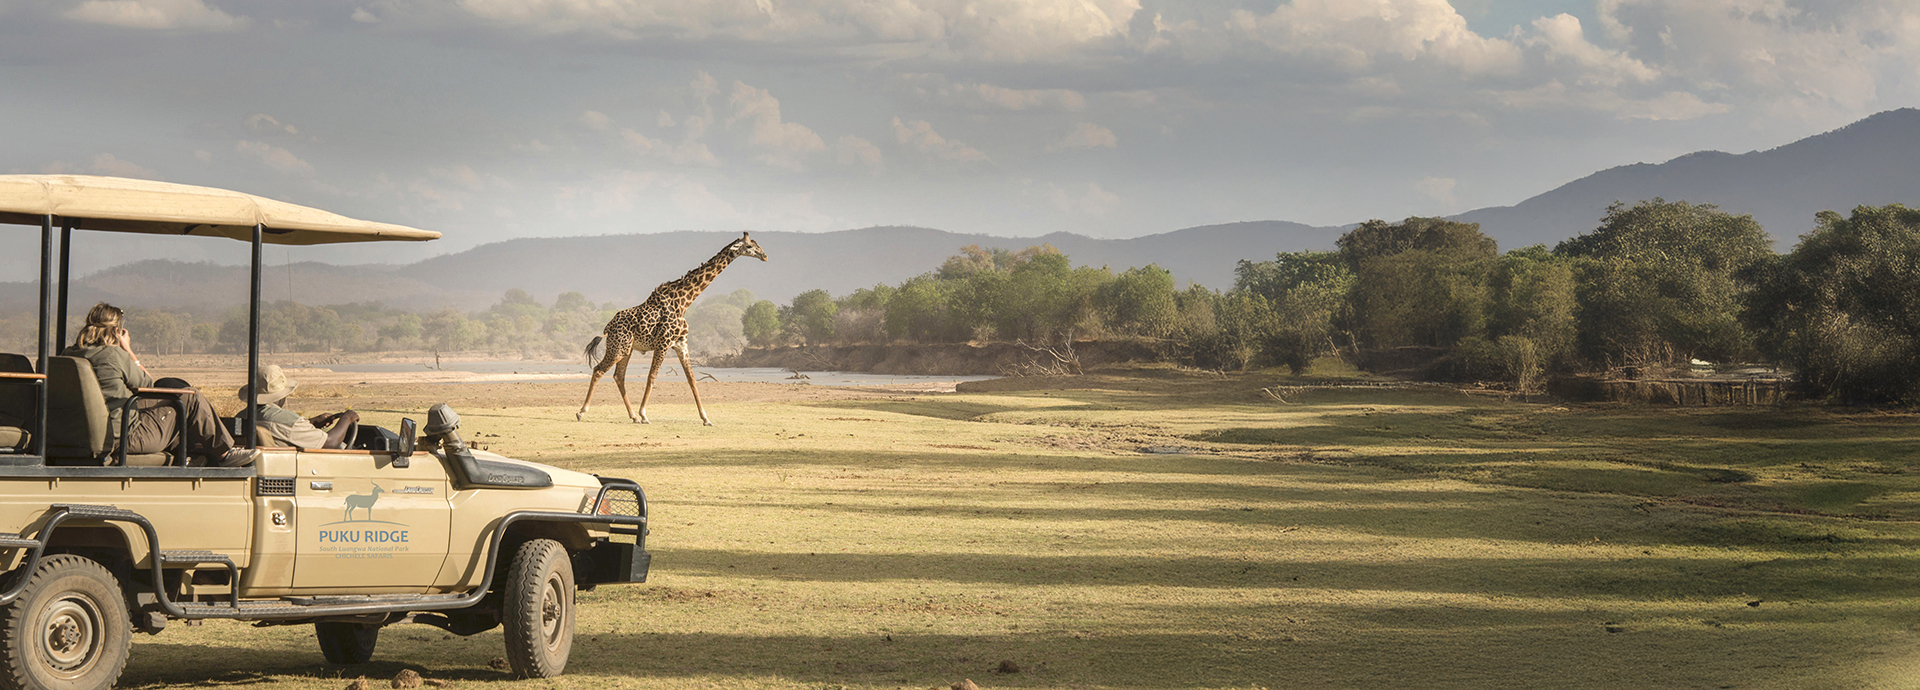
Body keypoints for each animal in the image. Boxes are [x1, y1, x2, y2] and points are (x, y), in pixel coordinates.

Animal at [577, 232, 769, 425]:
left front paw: (706, 418)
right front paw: (644, 414)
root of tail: (608, 327)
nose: (765, 256)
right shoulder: (663, 342)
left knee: (619, 376)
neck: (684, 303)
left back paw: (632, 417)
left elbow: (692, 379)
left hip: (626, 349)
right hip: (618, 348)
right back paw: (582, 412)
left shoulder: (681, 343)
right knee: (599, 370)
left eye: (756, 244)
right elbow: (652, 376)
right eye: (749, 246)